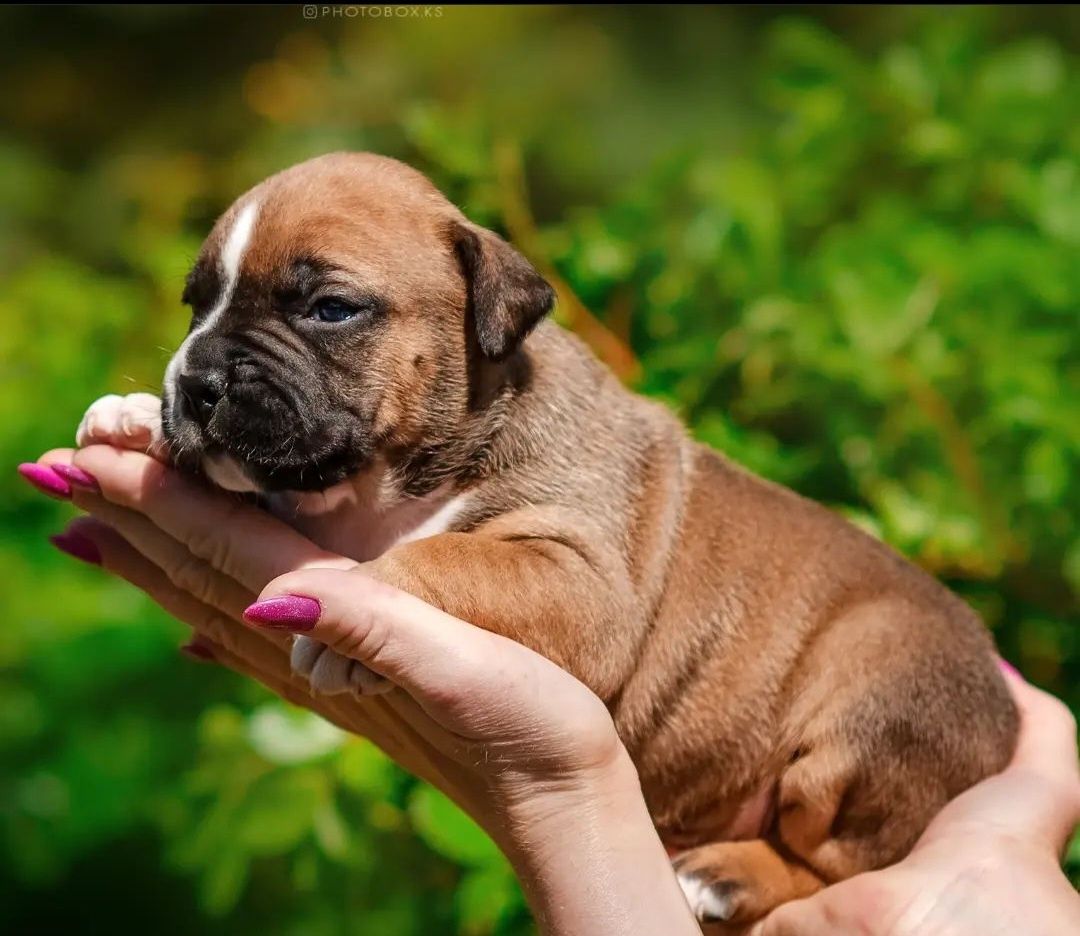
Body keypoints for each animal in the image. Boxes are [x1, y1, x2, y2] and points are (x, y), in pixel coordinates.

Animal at [79, 152, 1015, 924]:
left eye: (330, 309)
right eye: (196, 307)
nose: (195, 381)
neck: (393, 481)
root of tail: (1002, 727)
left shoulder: (578, 575)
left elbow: (445, 554)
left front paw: (353, 607)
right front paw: (135, 421)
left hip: (870, 713)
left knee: (840, 861)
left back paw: (727, 874)